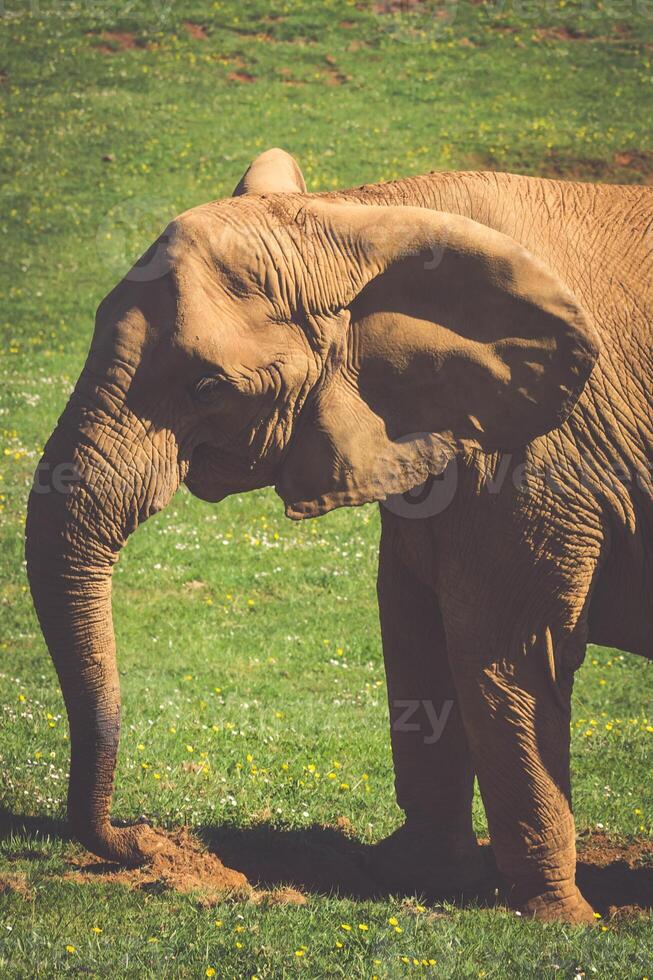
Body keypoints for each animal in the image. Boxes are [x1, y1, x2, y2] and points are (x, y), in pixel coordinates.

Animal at [26, 142, 652, 924]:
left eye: (208, 388)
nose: (142, 844)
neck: (358, 215)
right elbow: (414, 627)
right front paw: (410, 876)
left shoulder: (543, 457)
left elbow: (503, 654)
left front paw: (559, 922)